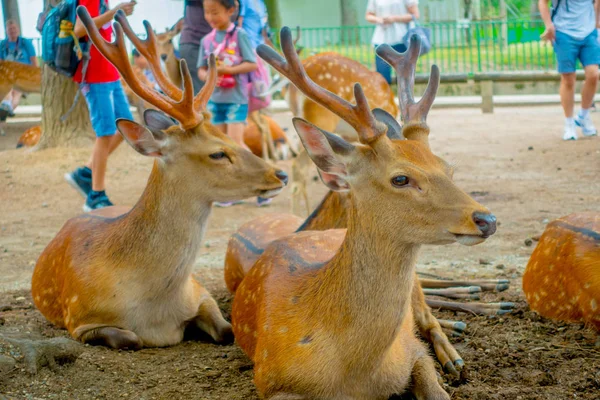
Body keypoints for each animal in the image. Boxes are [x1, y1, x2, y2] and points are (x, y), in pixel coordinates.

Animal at [30, 7, 288, 350]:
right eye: (218, 153)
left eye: (225, 136)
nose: (280, 173)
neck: (157, 307)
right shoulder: (79, 318)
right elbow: (130, 339)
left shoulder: (199, 290)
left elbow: (226, 330)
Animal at [225, 28, 496, 400]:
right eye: (400, 178)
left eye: (447, 168)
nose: (487, 220)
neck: (355, 375)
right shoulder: (270, 380)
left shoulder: (411, 351)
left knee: (428, 316)